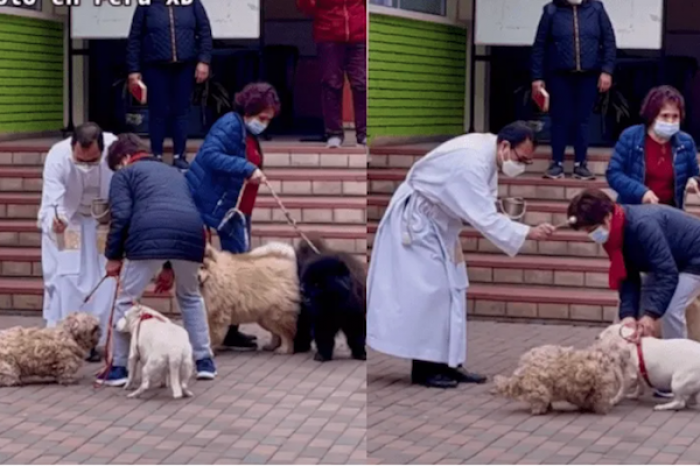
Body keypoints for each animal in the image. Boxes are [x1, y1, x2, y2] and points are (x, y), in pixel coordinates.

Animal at [490, 338, 632, 416]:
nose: (630, 353)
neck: (605, 357)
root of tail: (521, 370)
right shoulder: (601, 389)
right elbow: (600, 401)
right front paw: (603, 410)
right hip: (539, 388)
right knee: (538, 401)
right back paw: (540, 410)